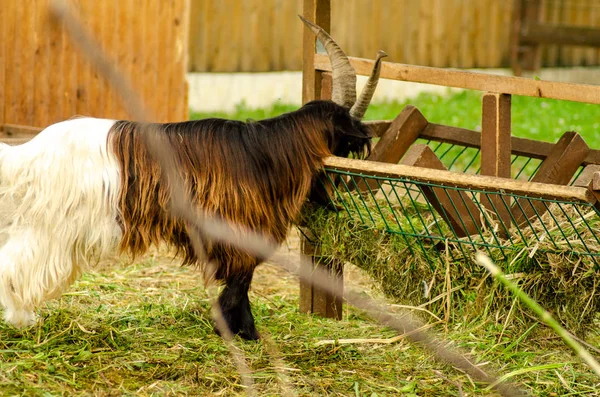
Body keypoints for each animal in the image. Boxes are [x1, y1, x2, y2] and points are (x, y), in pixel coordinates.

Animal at [0, 18, 384, 338]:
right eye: (347, 131)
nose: (365, 141)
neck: (269, 150)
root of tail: (31, 152)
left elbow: (238, 283)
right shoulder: (240, 233)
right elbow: (239, 284)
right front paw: (244, 332)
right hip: (51, 227)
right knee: (14, 265)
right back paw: (22, 319)